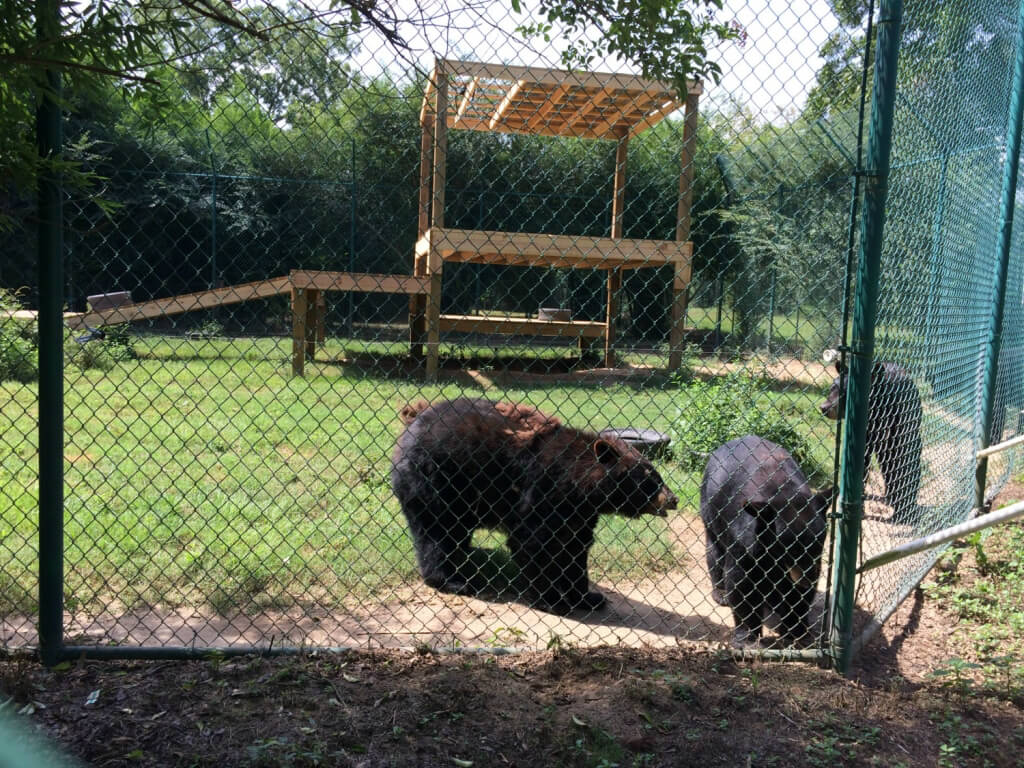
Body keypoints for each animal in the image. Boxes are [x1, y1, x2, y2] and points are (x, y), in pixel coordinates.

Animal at [387, 399, 675, 618]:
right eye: (650, 479)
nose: (673, 499)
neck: (578, 485)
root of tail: (411, 423)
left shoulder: (580, 512)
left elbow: (575, 548)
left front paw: (588, 596)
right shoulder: (542, 490)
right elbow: (534, 542)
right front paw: (553, 600)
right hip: (437, 479)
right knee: (437, 532)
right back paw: (453, 580)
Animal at [696, 436, 831, 647]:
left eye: (818, 542)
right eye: (790, 547)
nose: (806, 578)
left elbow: (798, 595)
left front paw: (797, 632)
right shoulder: (744, 537)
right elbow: (741, 582)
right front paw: (746, 638)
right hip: (710, 509)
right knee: (715, 551)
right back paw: (721, 593)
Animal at [819, 360, 925, 524]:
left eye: (846, 393)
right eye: (832, 387)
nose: (824, 408)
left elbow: (902, 457)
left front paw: (904, 505)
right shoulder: (866, 432)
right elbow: (862, 462)